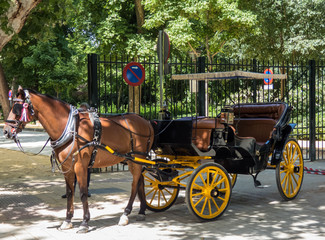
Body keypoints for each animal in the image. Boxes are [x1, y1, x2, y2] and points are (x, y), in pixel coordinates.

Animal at [3, 88, 154, 232]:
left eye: (17, 108)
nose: (5, 131)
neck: (71, 128)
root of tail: (146, 121)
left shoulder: (80, 166)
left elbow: (82, 193)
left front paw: (84, 223)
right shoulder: (67, 167)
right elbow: (70, 192)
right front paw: (67, 220)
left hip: (136, 159)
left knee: (134, 185)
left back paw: (125, 214)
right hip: (133, 160)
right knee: (140, 182)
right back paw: (141, 211)